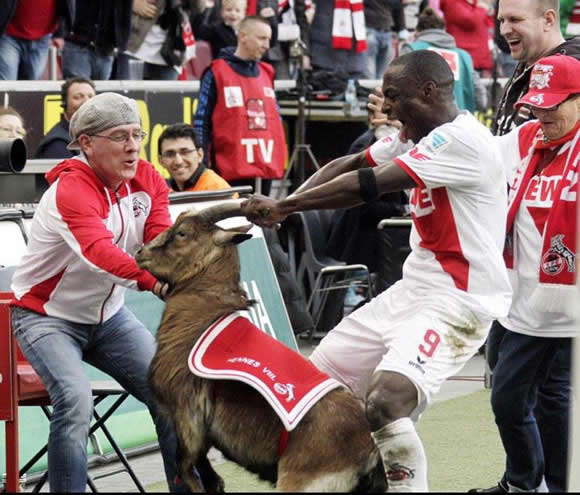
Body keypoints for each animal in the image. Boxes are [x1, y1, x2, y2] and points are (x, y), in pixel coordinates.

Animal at [136, 202, 388, 492]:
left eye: (182, 233)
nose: (140, 253)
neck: (202, 317)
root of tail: (369, 452)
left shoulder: (187, 414)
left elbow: (187, 469)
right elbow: (210, 477)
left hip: (299, 482)